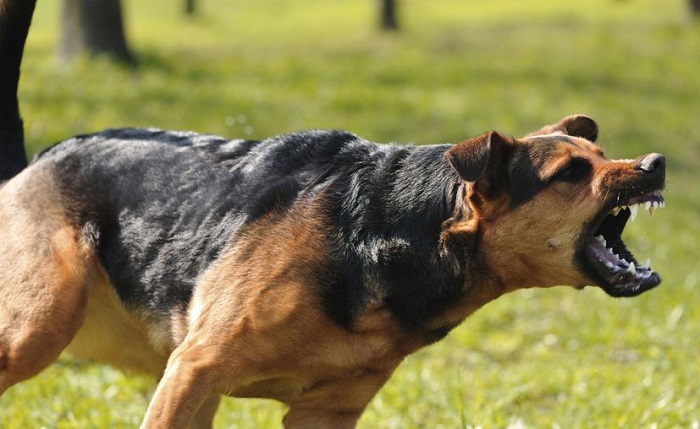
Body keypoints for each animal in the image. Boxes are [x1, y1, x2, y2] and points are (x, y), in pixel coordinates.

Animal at [0, 114, 668, 428]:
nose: (655, 163)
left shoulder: (323, 413)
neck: (391, 233)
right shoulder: (195, 368)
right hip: (41, 328)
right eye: (571, 174)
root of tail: (38, 159)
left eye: (603, 155)